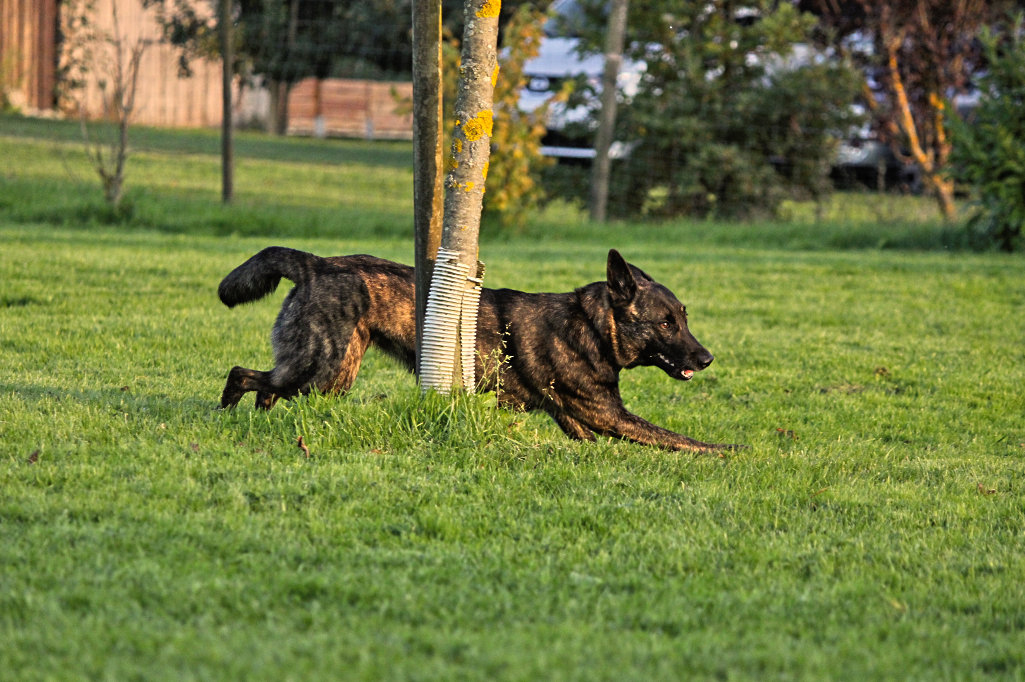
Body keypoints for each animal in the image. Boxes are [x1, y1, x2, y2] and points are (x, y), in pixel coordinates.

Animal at [220, 246, 742, 451]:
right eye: (666, 323)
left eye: (685, 318)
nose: (708, 359)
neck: (591, 327)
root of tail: (317, 264)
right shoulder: (609, 416)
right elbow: (684, 441)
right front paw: (733, 451)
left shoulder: (580, 423)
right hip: (323, 370)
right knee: (241, 374)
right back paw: (225, 416)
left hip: (327, 375)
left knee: (266, 387)